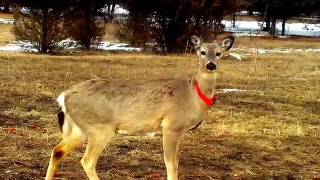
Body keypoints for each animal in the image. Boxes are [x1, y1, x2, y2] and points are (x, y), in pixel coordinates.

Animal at [45, 35, 235, 180]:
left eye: (218, 53)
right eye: (202, 52)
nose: (210, 65)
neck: (193, 96)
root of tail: (64, 96)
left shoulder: (178, 132)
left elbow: (176, 163)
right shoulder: (171, 126)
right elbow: (171, 165)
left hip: (82, 129)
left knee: (58, 150)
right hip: (100, 128)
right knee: (87, 161)